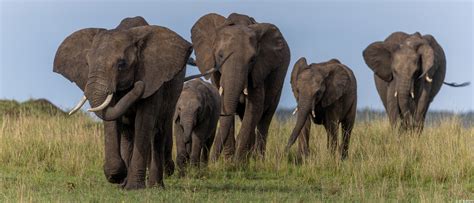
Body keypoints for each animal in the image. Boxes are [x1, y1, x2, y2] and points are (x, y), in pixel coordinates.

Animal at [52, 16, 192, 190]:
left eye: (122, 64)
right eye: (87, 64)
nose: (139, 84)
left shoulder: (153, 77)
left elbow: (143, 123)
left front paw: (134, 187)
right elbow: (111, 119)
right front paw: (117, 176)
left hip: (174, 92)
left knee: (157, 131)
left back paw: (155, 186)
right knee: (128, 133)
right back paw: (124, 184)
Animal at [191, 12, 290, 162]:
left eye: (252, 59)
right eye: (220, 56)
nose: (211, 161)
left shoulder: (258, 70)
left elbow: (254, 108)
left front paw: (238, 163)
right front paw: (229, 161)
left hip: (279, 79)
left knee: (264, 119)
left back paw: (258, 160)